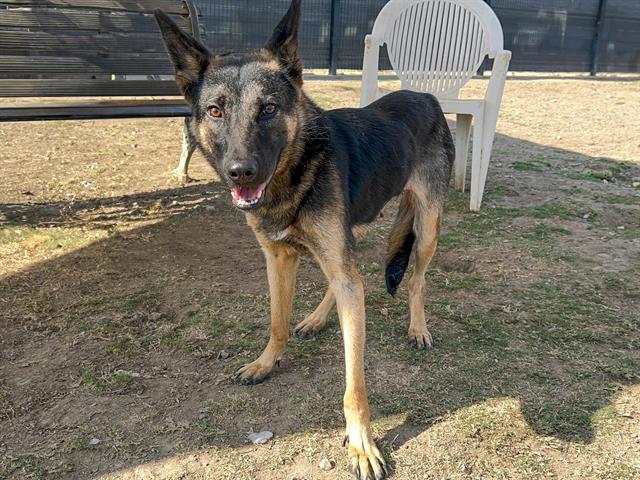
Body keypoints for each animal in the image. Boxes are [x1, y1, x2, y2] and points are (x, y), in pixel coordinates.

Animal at [155, 1, 456, 478]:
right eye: (215, 111)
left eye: (269, 108)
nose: (241, 172)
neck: (294, 173)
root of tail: (425, 95)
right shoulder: (278, 259)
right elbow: (277, 321)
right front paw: (267, 362)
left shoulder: (333, 258)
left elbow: (354, 385)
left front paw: (362, 444)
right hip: (353, 234)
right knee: (349, 280)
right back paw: (316, 318)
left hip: (426, 228)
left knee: (414, 279)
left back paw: (418, 326)